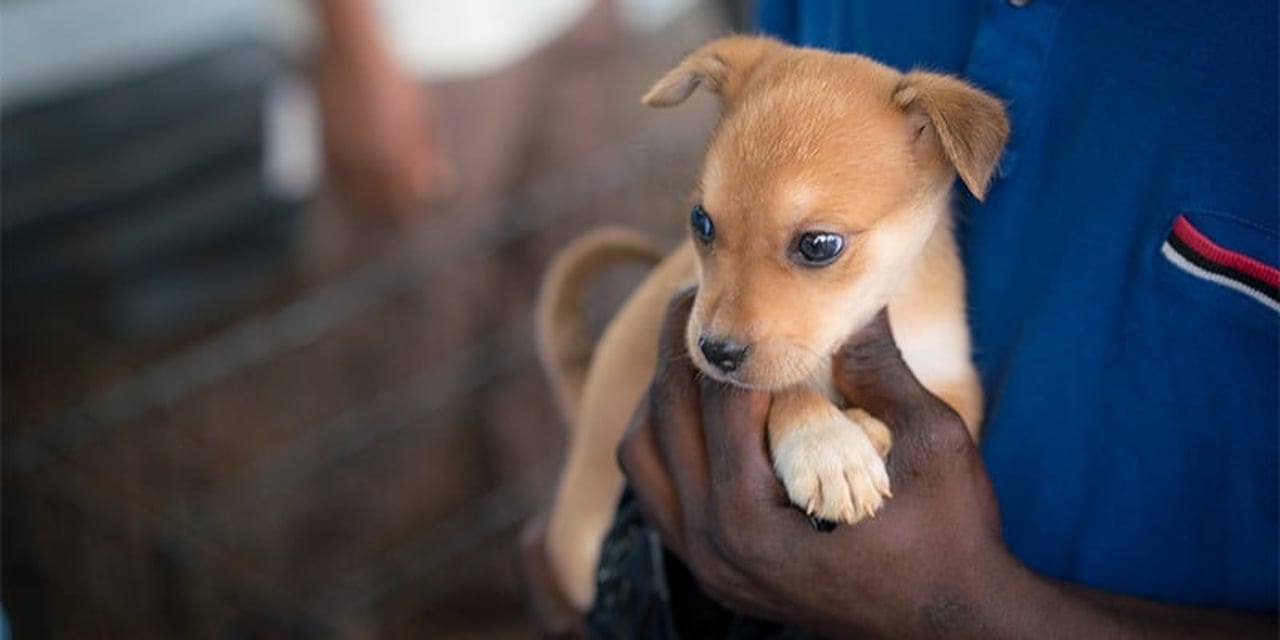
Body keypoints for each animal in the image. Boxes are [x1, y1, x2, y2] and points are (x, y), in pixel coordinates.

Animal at [532, 36, 1008, 609]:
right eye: (701, 222)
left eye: (819, 244)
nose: (715, 351)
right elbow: (789, 387)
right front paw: (829, 448)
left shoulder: (951, 381)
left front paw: (858, 431)